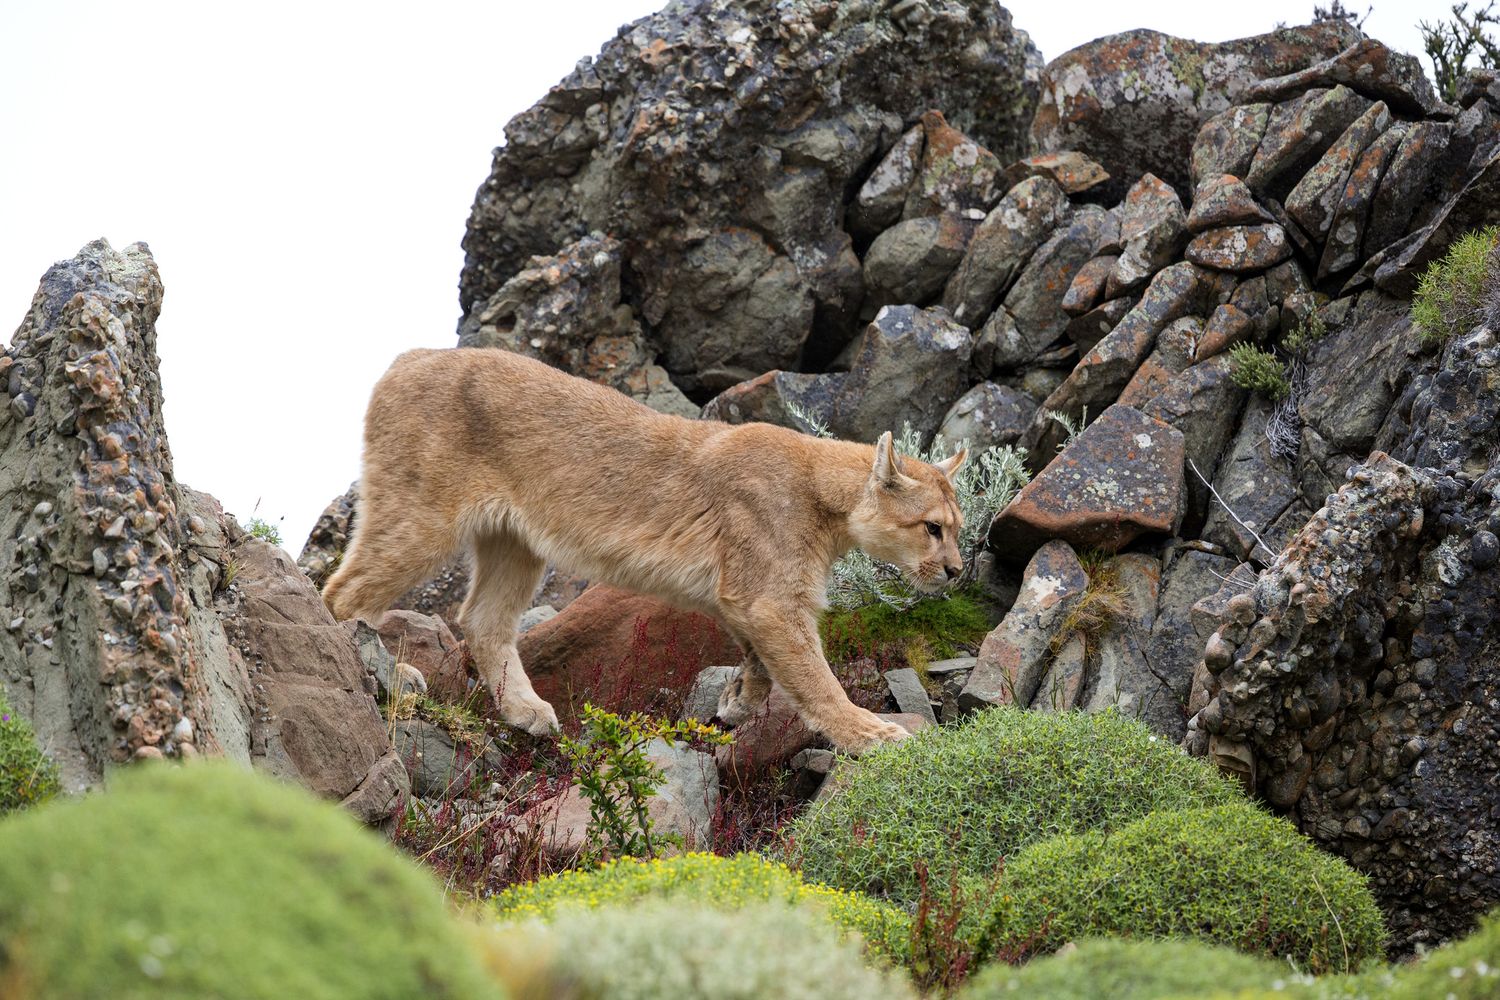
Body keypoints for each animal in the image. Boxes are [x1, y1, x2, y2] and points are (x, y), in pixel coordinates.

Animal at [321, 348, 967, 753]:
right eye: (932, 528)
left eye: (960, 528)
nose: (958, 570)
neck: (824, 494)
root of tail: (410, 357)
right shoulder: (771, 601)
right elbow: (814, 677)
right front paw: (870, 734)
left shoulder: (748, 597)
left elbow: (765, 660)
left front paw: (737, 701)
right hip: (421, 518)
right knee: (340, 591)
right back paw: (382, 671)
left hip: (514, 540)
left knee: (482, 619)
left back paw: (526, 711)